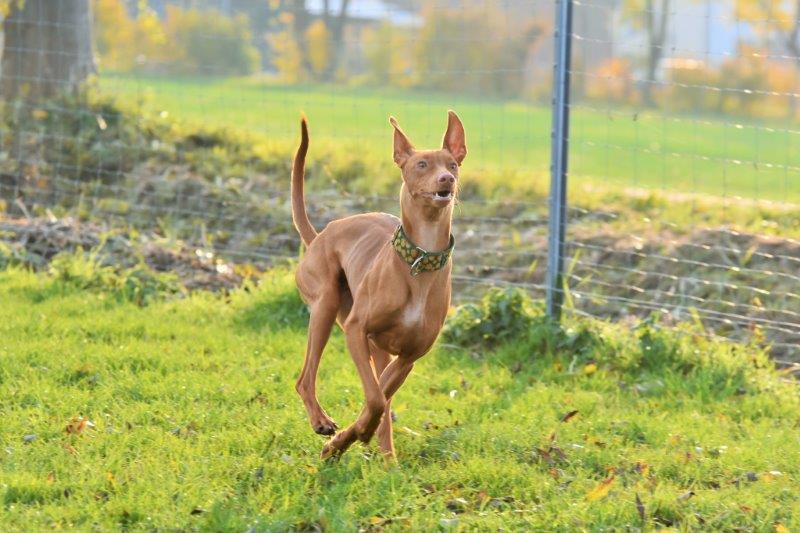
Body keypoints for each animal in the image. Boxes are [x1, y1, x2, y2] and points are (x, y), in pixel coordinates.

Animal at [291, 111, 466, 459]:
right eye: (422, 164)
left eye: (452, 164)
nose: (447, 180)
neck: (420, 260)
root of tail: (319, 237)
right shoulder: (356, 331)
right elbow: (374, 399)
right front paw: (345, 438)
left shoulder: (408, 358)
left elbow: (379, 399)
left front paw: (348, 439)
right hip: (326, 304)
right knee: (305, 378)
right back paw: (322, 422)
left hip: (380, 349)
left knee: (381, 397)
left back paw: (387, 458)